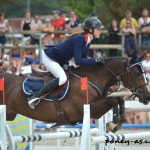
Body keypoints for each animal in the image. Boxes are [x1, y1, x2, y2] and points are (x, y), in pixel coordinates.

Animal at [0, 56, 150, 132]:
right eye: (137, 74)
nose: (147, 97)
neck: (91, 79)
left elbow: (119, 100)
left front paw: (114, 125)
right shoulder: (87, 110)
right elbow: (113, 101)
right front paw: (112, 123)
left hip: (9, 115)